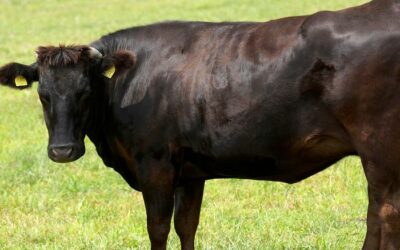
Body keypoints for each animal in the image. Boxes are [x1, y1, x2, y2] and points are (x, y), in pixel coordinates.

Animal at [0, 0, 400, 249]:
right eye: (43, 93)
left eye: (85, 91)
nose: (62, 151)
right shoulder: (190, 171)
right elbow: (186, 225)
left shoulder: (156, 165)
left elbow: (158, 228)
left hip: (379, 148)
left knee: (383, 214)